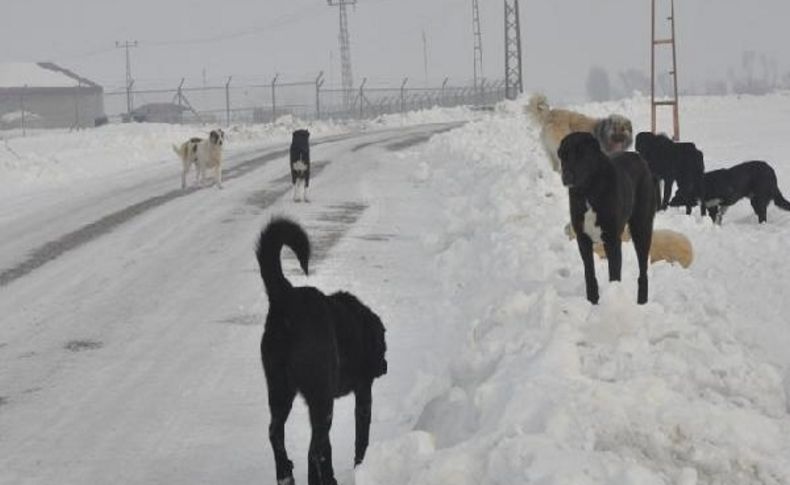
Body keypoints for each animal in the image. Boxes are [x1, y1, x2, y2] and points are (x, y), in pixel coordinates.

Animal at [255, 219, 388, 484]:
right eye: (382, 345)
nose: (385, 366)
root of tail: (285, 298)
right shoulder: (363, 390)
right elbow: (361, 438)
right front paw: (360, 467)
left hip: (280, 390)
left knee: (277, 433)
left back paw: (285, 474)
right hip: (321, 397)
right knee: (317, 448)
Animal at [560, 130, 660, 304]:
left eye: (580, 154)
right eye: (563, 155)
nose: (566, 176)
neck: (588, 192)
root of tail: (641, 159)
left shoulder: (612, 240)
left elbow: (614, 275)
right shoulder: (583, 239)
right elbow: (589, 274)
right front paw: (593, 302)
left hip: (642, 229)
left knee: (643, 271)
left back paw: (642, 301)